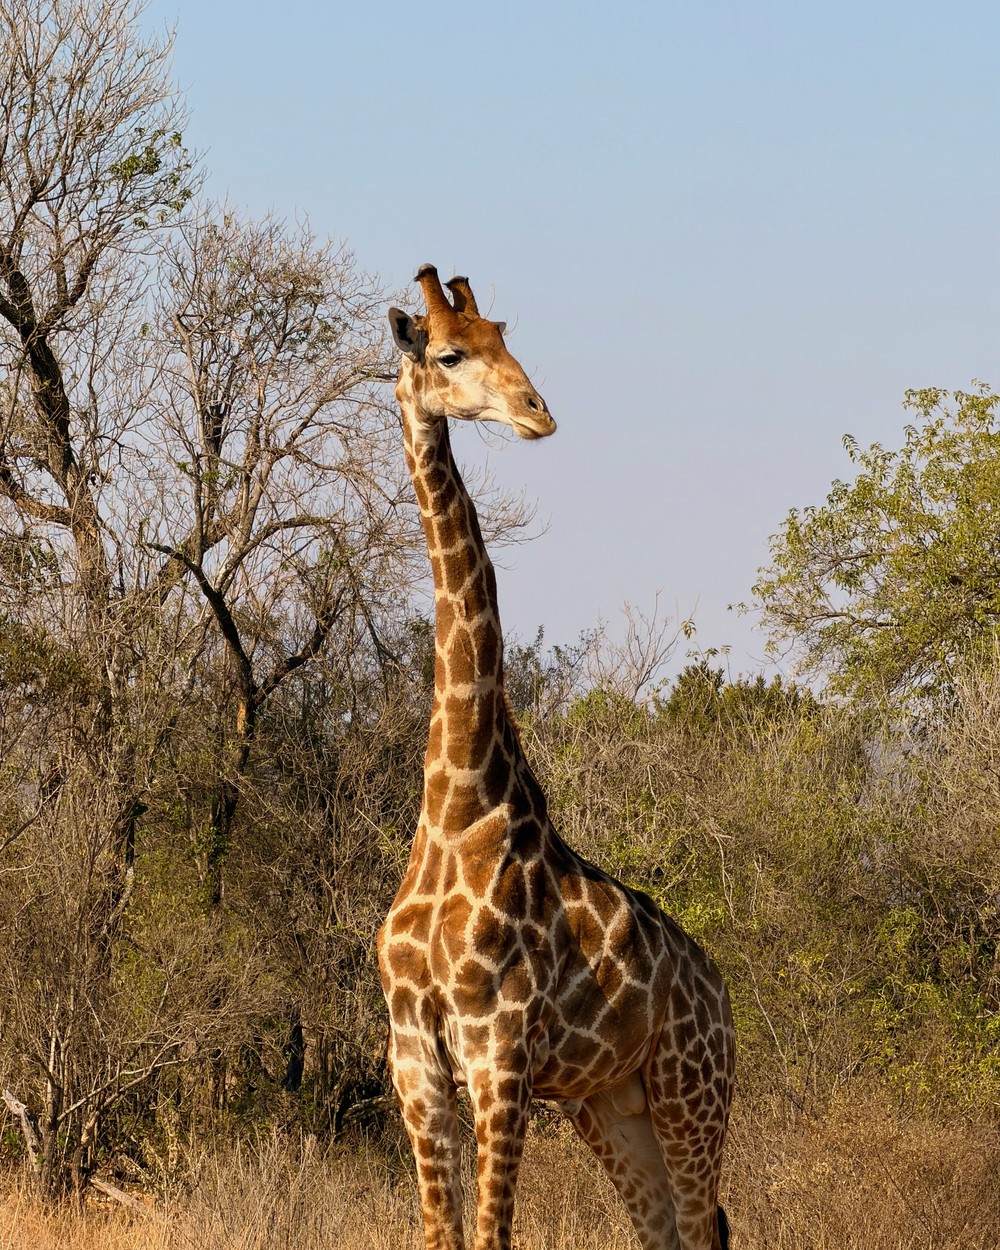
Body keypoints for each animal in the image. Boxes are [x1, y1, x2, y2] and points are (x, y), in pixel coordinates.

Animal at [377, 265, 734, 1250]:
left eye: (506, 336)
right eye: (448, 352)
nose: (538, 412)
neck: (459, 801)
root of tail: (723, 1000)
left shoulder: (500, 1056)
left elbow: (491, 1237)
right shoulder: (415, 1060)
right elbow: (440, 1234)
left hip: (692, 1096)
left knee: (702, 1228)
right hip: (610, 1104)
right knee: (664, 1230)